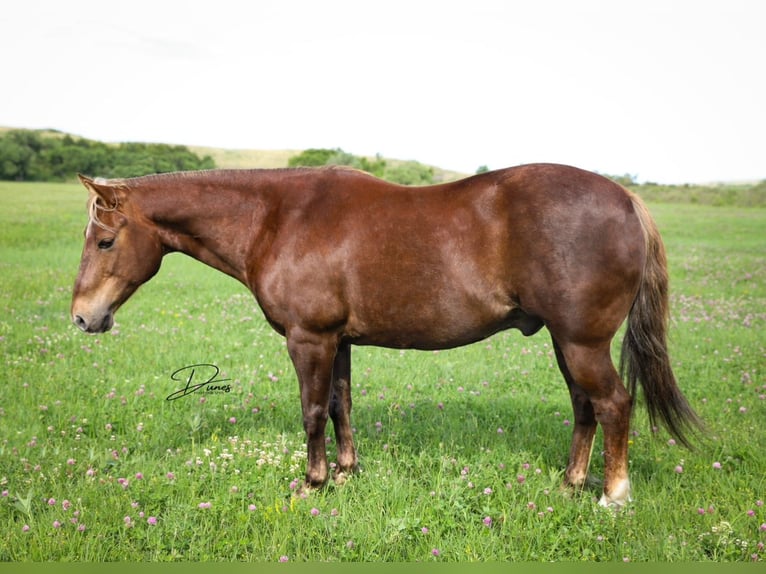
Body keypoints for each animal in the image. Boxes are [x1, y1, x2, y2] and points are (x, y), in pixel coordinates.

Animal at [70, 163, 704, 508]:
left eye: (105, 241)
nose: (81, 317)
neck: (278, 218)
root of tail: (625, 198)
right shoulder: (338, 340)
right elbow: (340, 405)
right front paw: (347, 473)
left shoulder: (309, 338)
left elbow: (312, 411)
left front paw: (313, 482)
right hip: (565, 342)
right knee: (584, 406)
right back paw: (571, 484)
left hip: (581, 342)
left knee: (613, 403)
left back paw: (612, 496)